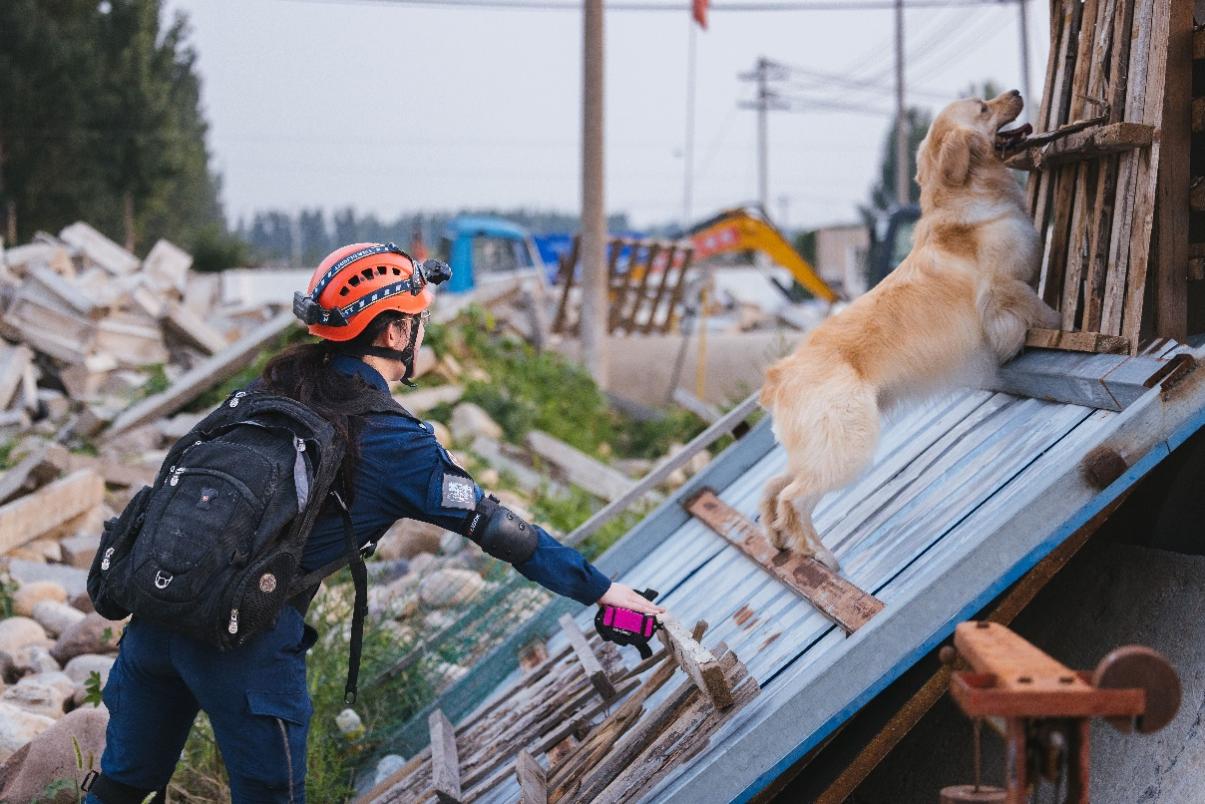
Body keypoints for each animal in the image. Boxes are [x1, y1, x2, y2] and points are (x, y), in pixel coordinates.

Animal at [761, 91, 1055, 568]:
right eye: (983, 107)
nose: (1014, 93)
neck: (964, 198)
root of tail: (779, 375)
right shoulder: (1005, 290)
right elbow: (1043, 312)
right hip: (849, 447)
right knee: (792, 497)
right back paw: (820, 555)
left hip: (818, 449)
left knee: (770, 489)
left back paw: (779, 541)